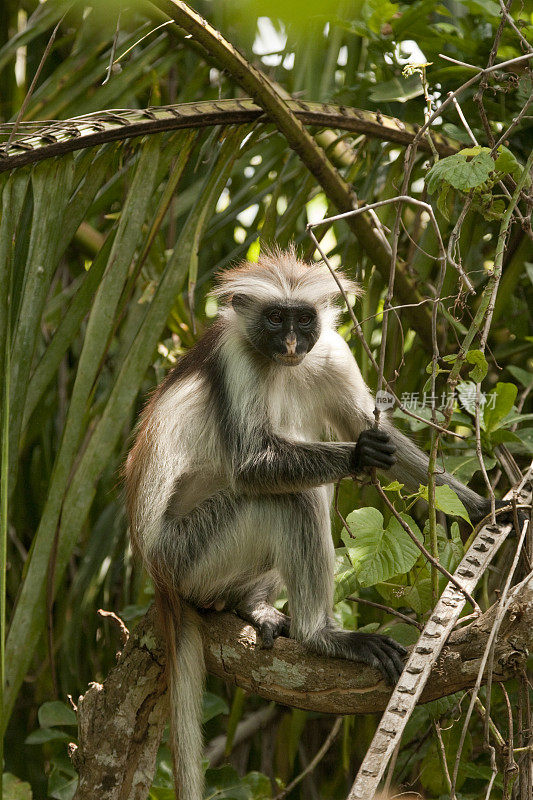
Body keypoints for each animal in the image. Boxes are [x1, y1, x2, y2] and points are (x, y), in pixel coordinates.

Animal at [123, 247, 494, 796]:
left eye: (302, 319)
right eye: (275, 318)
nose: (293, 343)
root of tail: (159, 576)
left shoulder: (332, 350)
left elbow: (372, 428)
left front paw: (483, 508)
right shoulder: (235, 359)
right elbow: (251, 465)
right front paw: (360, 454)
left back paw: (251, 604)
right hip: (188, 552)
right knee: (294, 498)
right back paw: (319, 635)